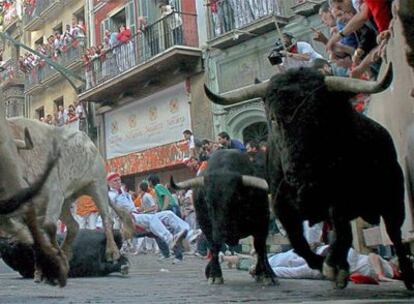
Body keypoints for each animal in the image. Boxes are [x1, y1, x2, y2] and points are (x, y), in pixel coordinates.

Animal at [204, 64, 414, 290]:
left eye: (320, 117)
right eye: (274, 119)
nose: (296, 174)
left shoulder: (340, 200)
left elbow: (341, 234)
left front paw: (330, 265)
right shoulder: (282, 205)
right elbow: (299, 242)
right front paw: (324, 263)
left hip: (393, 198)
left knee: (394, 234)